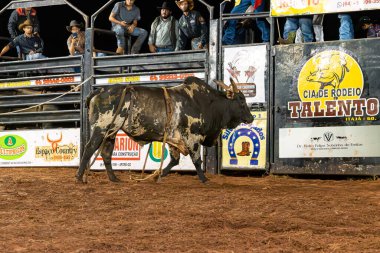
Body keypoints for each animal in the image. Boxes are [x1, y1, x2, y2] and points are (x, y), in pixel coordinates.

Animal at [75, 76, 254, 183]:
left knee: (106, 153)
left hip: (111, 131)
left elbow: (174, 160)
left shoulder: (172, 137)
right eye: (241, 100)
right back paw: (79, 177)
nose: (251, 118)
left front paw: (158, 175)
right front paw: (204, 179)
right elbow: (196, 159)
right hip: (101, 128)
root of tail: (99, 90)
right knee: (89, 148)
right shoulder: (192, 136)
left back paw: (114, 179)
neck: (204, 102)